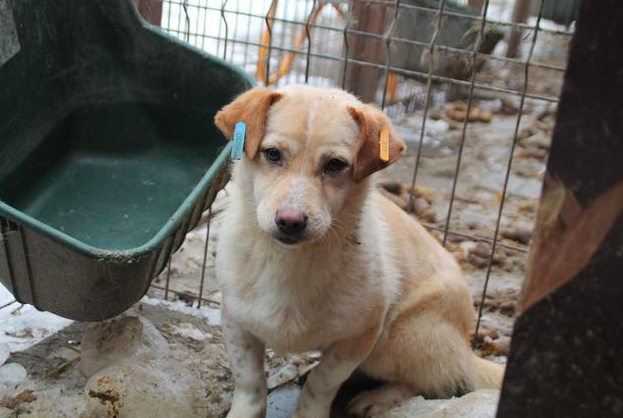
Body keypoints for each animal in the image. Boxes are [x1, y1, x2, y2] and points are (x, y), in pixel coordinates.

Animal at [214, 85, 508, 418]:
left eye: (335, 164)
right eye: (272, 153)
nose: (290, 221)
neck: (289, 262)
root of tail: (467, 349)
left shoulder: (360, 337)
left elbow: (322, 382)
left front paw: (309, 412)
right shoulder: (236, 323)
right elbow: (249, 382)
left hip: (396, 339)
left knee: (431, 382)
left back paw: (377, 398)